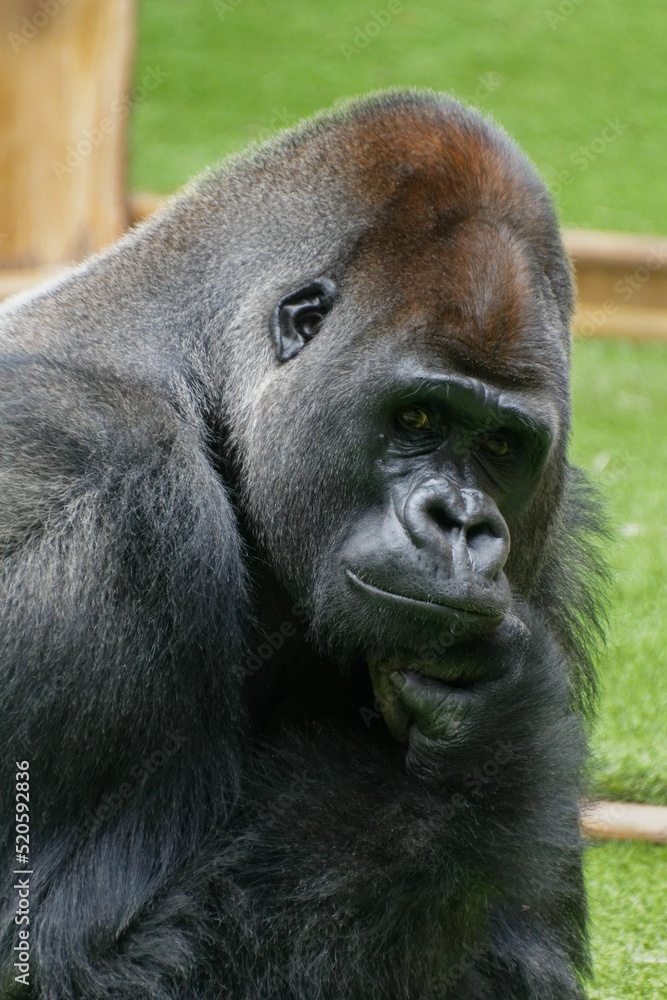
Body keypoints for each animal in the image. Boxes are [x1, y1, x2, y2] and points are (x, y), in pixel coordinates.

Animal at [0, 90, 608, 996]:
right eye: (417, 417)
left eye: (502, 446)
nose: (462, 524)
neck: (202, 373)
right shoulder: (89, 488)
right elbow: (60, 958)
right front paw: (495, 740)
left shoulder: (547, 532)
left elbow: (519, 944)